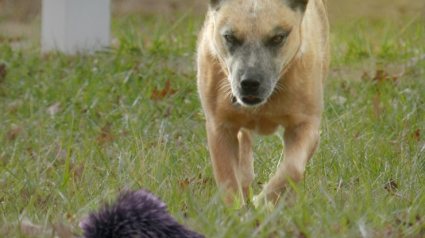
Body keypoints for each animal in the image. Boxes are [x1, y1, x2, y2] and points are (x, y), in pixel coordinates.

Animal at [197, 0, 330, 205]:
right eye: (229, 37)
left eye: (277, 38)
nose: (249, 83)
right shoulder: (219, 127)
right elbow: (228, 179)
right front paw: (237, 210)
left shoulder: (307, 124)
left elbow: (292, 168)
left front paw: (263, 202)